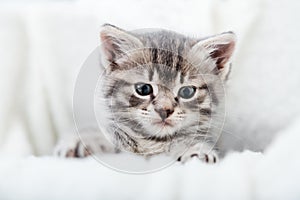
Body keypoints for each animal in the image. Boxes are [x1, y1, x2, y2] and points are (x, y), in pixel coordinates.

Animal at [55, 24, 236, 163]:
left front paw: (195, 150)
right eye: (143, 89)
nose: (164, 110)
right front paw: (82, 140)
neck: (152, 143)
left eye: (186, 91)